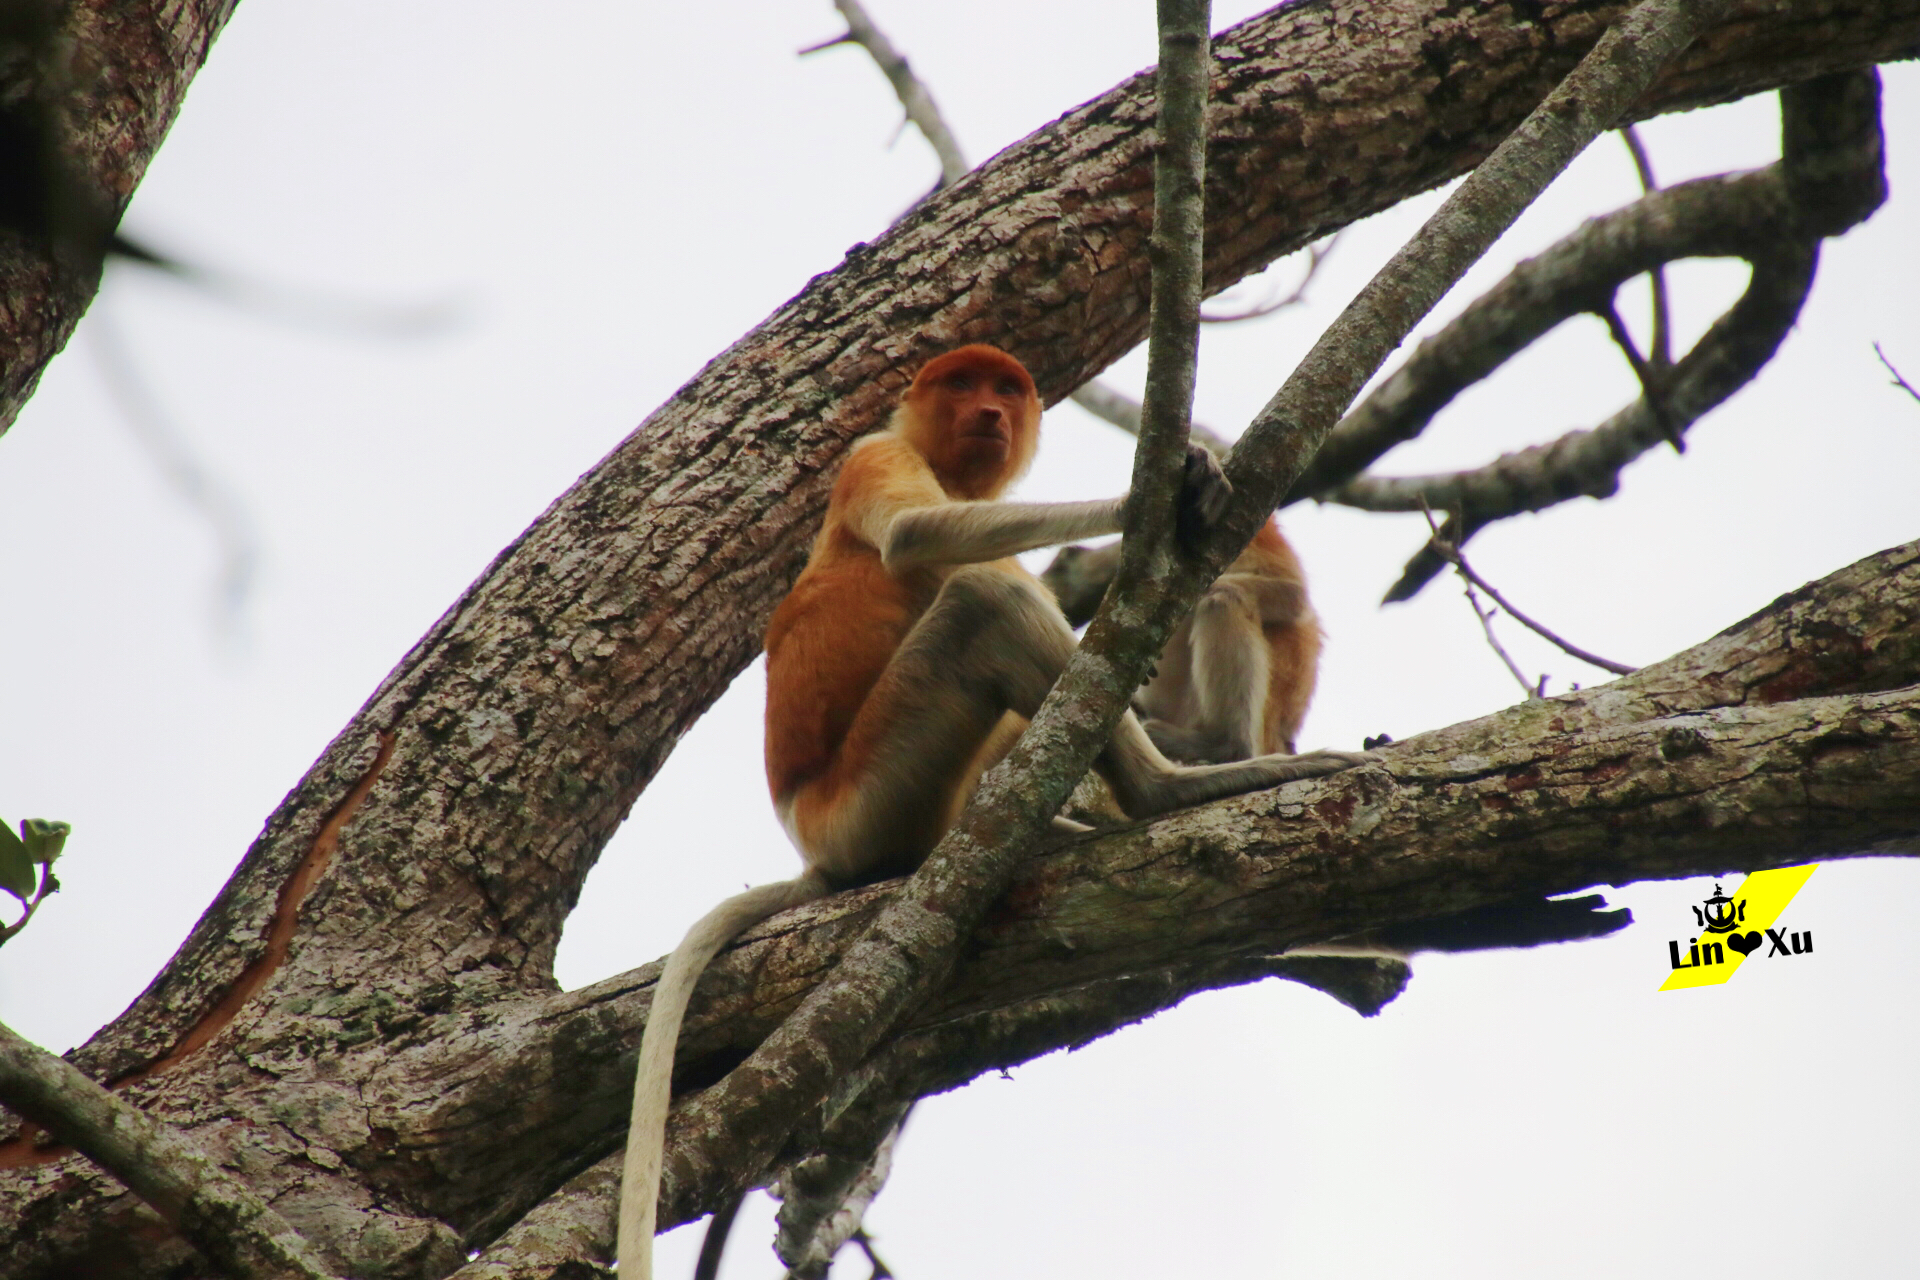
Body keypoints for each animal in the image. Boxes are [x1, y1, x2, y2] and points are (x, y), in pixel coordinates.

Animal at [618, 345, 1367, 1274]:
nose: (990, 415)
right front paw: (1154, 501)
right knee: (985, 594)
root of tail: (810, 840)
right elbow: (919, 535)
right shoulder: (874, 455)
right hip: (873, 796)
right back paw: (1174, 787)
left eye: (1006, 390)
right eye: (963, 385)